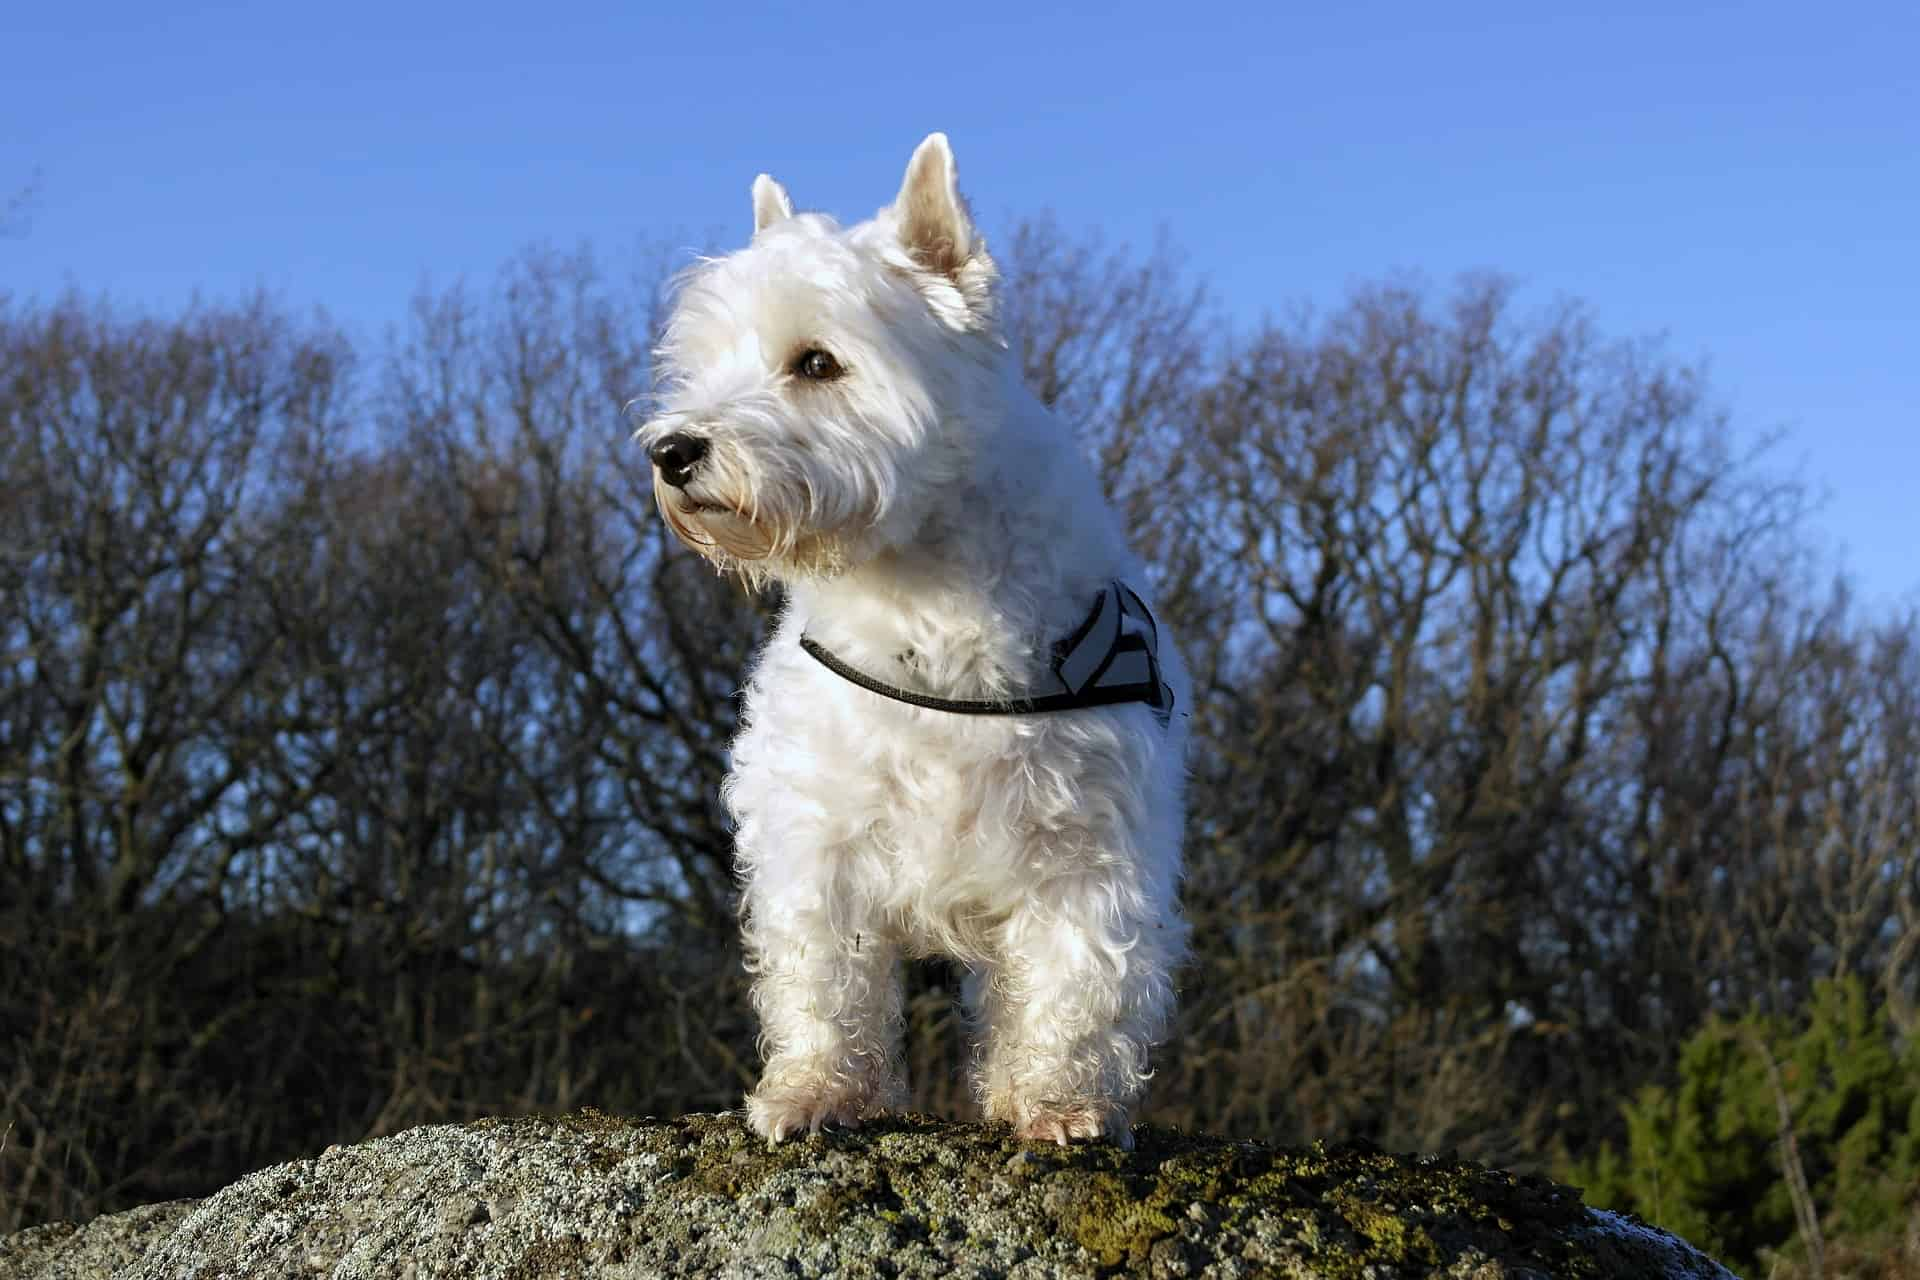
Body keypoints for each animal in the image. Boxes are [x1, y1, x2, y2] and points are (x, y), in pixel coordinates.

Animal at [637, 135, 1190, 1143]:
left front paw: (1059, 1102)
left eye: (817, 362)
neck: (922, 599)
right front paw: (816, 1092)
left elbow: (1076, 983)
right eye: (704, 363)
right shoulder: (819, 839)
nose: (673, 451)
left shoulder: (1086, 851)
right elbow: (826, 983)